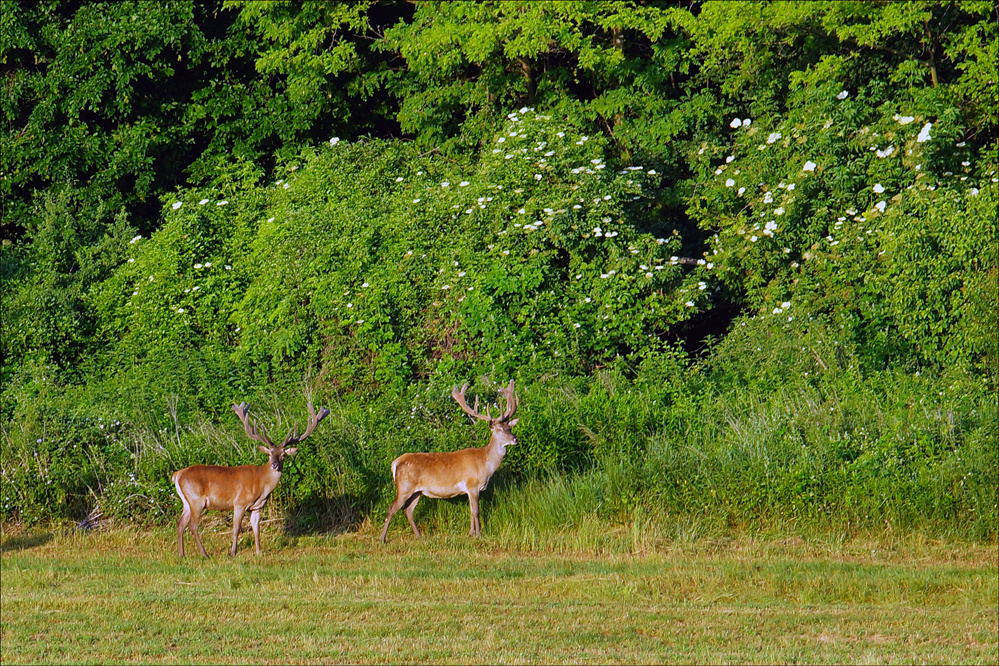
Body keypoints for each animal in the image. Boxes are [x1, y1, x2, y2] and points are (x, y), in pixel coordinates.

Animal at [171, 400, 328, 556]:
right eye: (270, 453)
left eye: (283, 454)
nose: (275, 465)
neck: (261, 483)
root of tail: (177, 474)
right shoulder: (239, 502)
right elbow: (236, 529)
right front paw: (233, 553)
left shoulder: (257, 507)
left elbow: (257, 530)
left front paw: (259, 552)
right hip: (196, 499)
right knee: (193, 526)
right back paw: (204, 554)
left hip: (187, 501)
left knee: (180, 523)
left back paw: (181, 554)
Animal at [380, 378, 524, 540]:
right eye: (499, 429)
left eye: (510, 428)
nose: (515, 439)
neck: (485, 463)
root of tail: (395, 463)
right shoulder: (472, 485)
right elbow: (476, 511)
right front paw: (478, 534)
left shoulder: (470, 490)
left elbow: (471, 511)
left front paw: (471, 533)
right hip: (404, 486)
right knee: (392, 508)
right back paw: (382, 539)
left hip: (417, 490)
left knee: (408, 509)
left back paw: (419, 536)